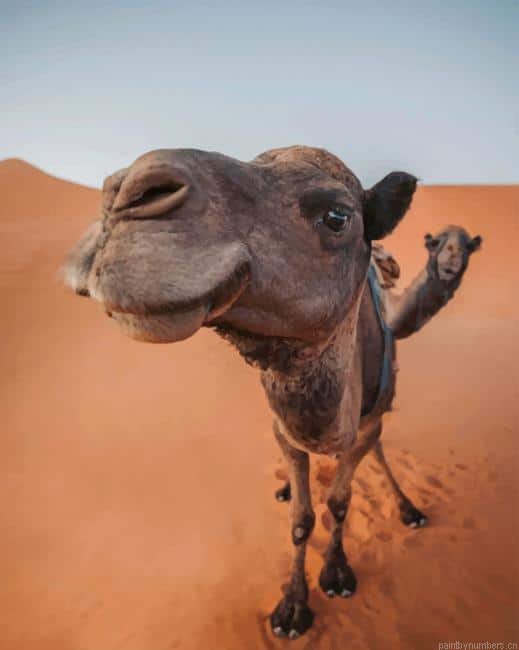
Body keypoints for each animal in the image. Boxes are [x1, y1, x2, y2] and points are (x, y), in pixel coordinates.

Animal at [63, 146, 481, 640]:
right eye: (437, 246)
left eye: (337, 216)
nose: (123, 193)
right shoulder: (287, 430)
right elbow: (301, 520)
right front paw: (292, 607)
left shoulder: (365, 424)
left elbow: (341, 501)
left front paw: (337, 572)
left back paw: (408, 508)